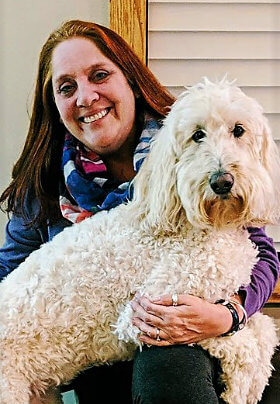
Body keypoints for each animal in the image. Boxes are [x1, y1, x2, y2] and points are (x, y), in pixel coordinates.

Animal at [0, 77, 280, 402]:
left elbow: (263, 328)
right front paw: (241, 388)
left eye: (238, 130)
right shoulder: (151, 318)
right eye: (197, 135)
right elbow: (242, 345)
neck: (203, 227)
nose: (221, 181)